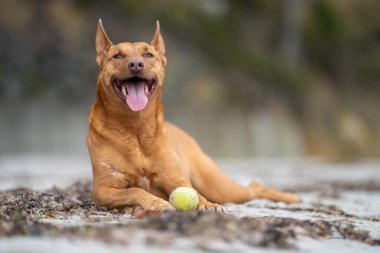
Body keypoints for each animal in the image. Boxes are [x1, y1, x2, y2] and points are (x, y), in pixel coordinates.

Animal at [87, 19, 300, 217]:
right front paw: (154, 203)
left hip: (220, 187)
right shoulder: (103, 190)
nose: (136, 64)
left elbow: (196, 194)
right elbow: (134, 190)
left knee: (253, 187)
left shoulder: (178, 180)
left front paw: (208, 205)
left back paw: (290, 198)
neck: (136, 127)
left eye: (148, 55)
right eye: (117, 55)